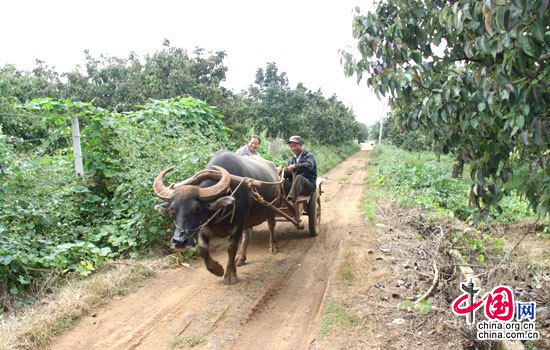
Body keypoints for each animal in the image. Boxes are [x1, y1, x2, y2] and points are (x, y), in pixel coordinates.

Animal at [155, 150, 284, 284]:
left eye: (197, 208)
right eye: (172, 209)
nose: (179, 242)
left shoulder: (237, 225)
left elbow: (231, 248)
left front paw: (230, 275)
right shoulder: (206, 224)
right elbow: (202, 247)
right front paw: (217, 269)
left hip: (271, 207)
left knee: (271, 226)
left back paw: (273, 246)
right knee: (247, 233)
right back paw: (241, 257)